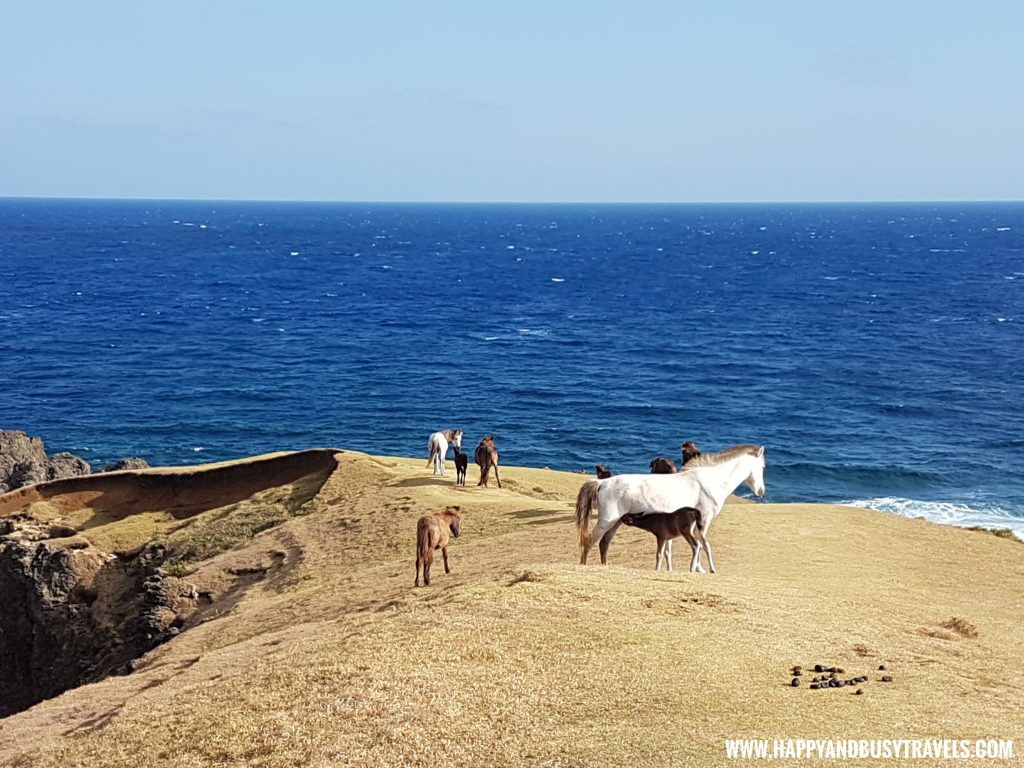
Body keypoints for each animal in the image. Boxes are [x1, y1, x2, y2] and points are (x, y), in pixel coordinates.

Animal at [573, 442, 765, 573]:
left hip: (617, 522)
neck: (709, 481)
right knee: (589, 541)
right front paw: (701, 569)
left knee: (604, 543)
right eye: (762, 467)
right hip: (606, 521)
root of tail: (601, 483)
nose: (761, 491)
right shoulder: (704, 519)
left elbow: (677, 549)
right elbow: (702, 544)